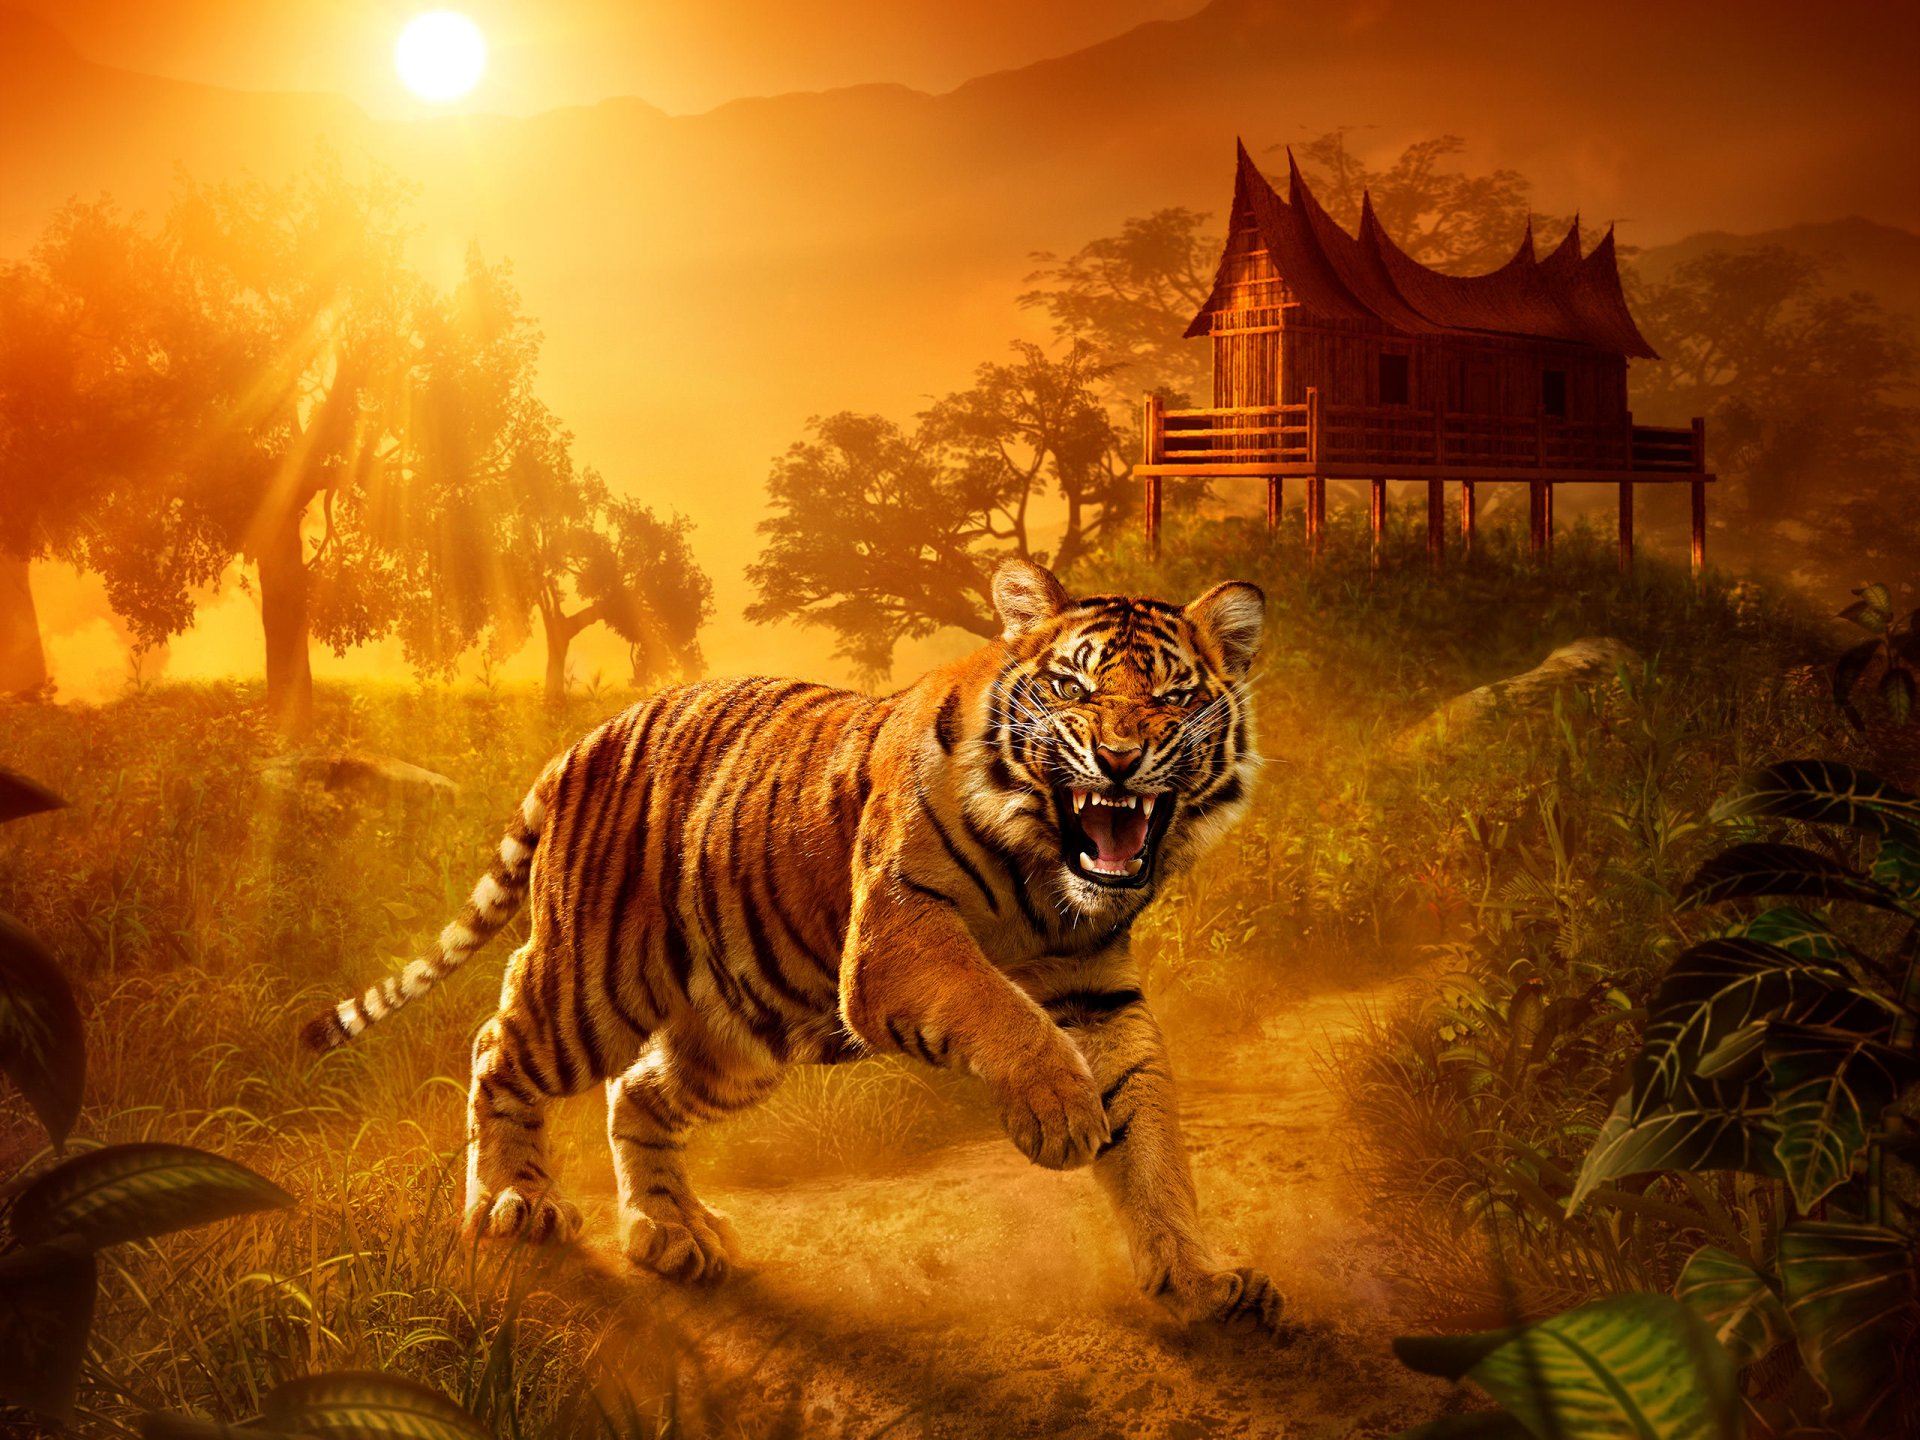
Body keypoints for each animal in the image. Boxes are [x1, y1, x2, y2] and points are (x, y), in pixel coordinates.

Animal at [303, 557, 1281, 1330]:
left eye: (1174, 697)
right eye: (1073, 689)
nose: (1117, 759)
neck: (1047, 878)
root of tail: (585, 739)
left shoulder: (1096, 992)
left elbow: (1151, 1138)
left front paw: (1200, 1278)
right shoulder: (897, 936)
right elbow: (996, 1005)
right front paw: (1061, 1114)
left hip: (740, 1033)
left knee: (638, 1093)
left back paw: (672, 1232)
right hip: (594, 985)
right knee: (498, 1042)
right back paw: (515, 1202)